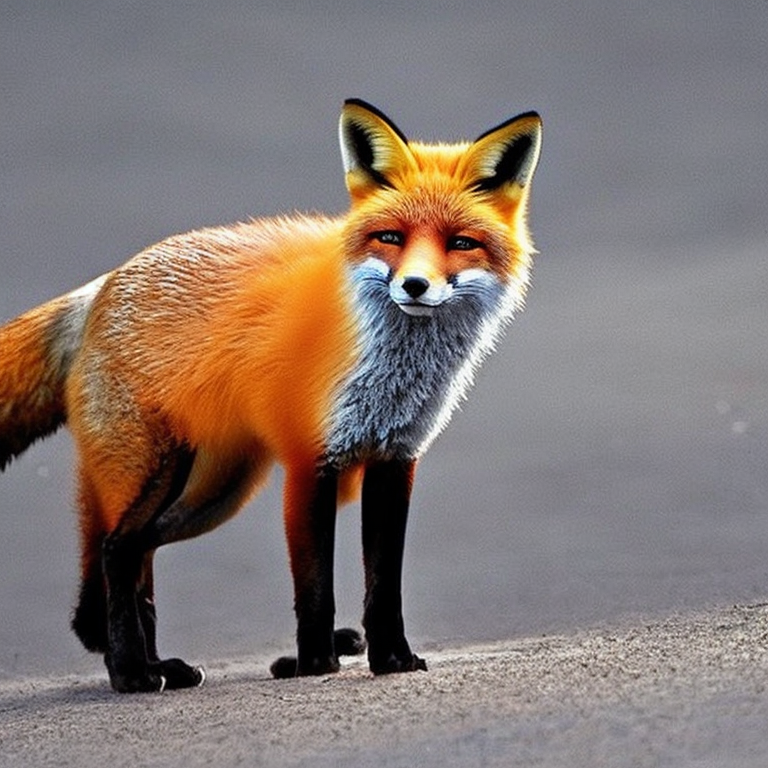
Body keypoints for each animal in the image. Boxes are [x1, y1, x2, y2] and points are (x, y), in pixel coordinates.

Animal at [0, 99, 542, 693]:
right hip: (161, 473)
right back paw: (131, 674)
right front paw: (314, 665)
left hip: (213, 493)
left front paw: (391, 660)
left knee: (137, 560)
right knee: (116, 551)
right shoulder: (311, 458)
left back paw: (158, 665)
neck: (390, 373)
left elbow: (384, 589)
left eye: (461, 243)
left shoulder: (395, 457)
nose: (414, 286)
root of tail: (103, 285)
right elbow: (315, 589)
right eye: (391, 238)